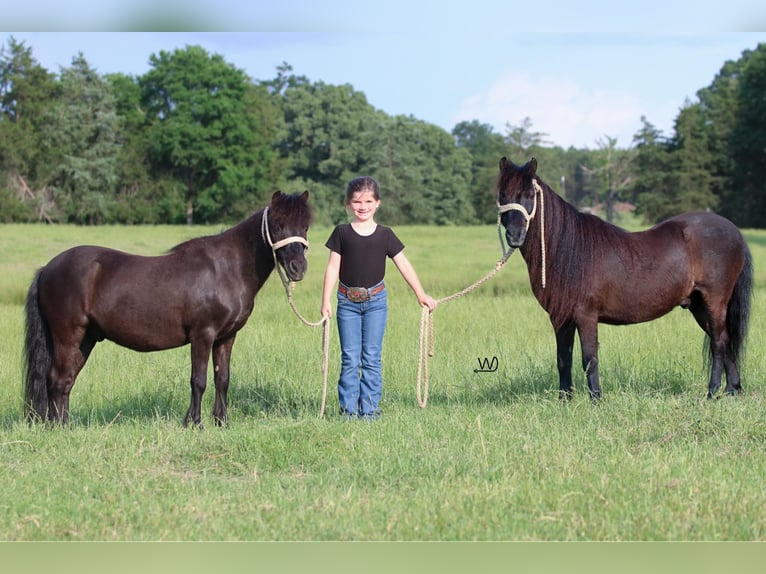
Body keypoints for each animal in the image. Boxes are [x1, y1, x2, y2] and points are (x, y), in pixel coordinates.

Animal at [24, 191, 312, 426]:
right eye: (277, 225)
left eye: (305, 226)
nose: (298, 268)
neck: (226, 268)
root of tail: (47, 268)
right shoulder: (203, 335)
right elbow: (198, 380)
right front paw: (194, 423)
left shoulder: (226, 337)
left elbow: (222, 379)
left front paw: (222, 422)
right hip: (68, 337)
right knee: (56, 379)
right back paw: (57, 427)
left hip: (86, 339)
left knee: (67, 381)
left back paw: (65, 424)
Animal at [498, 158, 756, 400]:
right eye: (503, 195)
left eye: (530, 195)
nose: (515, 235)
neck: (568, 250)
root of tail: (736, 232)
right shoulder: (560, 318)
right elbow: (563, 359)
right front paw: (565, 400)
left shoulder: (586, 315)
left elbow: (589, 359)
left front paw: (596, 399)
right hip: (699, 306)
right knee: (724, 340)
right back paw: (731, 390)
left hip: (714, 301)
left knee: (718, 344)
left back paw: (711, 392)